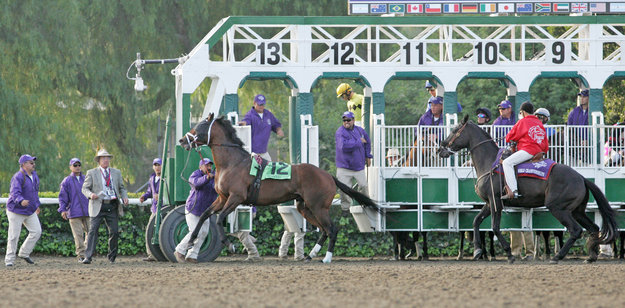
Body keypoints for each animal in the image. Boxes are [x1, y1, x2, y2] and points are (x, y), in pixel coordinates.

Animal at [178, 113, 378, 262]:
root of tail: (328, 175)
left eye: (201, 125)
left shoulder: (236, 198)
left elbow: (219, 219)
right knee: (324, 230)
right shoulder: (222, 198)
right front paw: (191, 241)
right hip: (305, 207)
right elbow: (204, 214)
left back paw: (326, 258)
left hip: (318, 207)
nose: (182, 140)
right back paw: (311, 255)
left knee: (332, 229)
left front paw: (229, 244)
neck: (232, 163)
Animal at [436, 114, 616, 264]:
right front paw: (478, 251)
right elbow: (476, 221)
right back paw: (591, 257)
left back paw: (557, 256)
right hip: (577, 211)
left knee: (575, 230)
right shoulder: (489, 203)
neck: (489, 162)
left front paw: (509, 254)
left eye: (454, 130)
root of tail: (581, 178)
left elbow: (495, 227)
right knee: (593, 228)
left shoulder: (496, 203)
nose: (440, 149)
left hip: (559, 209)